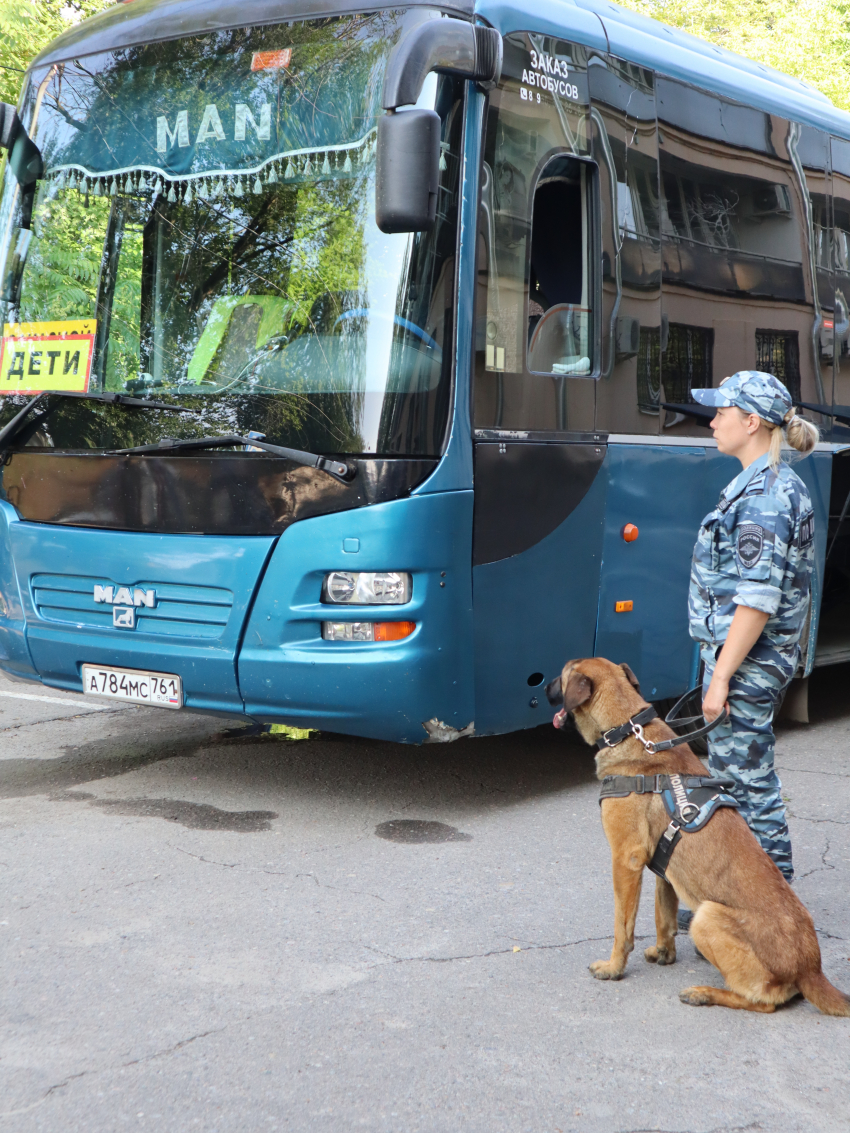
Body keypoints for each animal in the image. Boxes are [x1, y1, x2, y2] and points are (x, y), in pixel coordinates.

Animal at [548, 657, 847, 1019]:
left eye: (561, 675)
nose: (543, 687)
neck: (628, 730)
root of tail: (811, 968)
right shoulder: (663, 868)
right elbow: (663, 914)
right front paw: (664, 953)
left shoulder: (626, 859)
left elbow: (623, 925)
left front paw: (614, 967)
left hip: (707, 917)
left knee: (765, 1002)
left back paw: (704, 993)